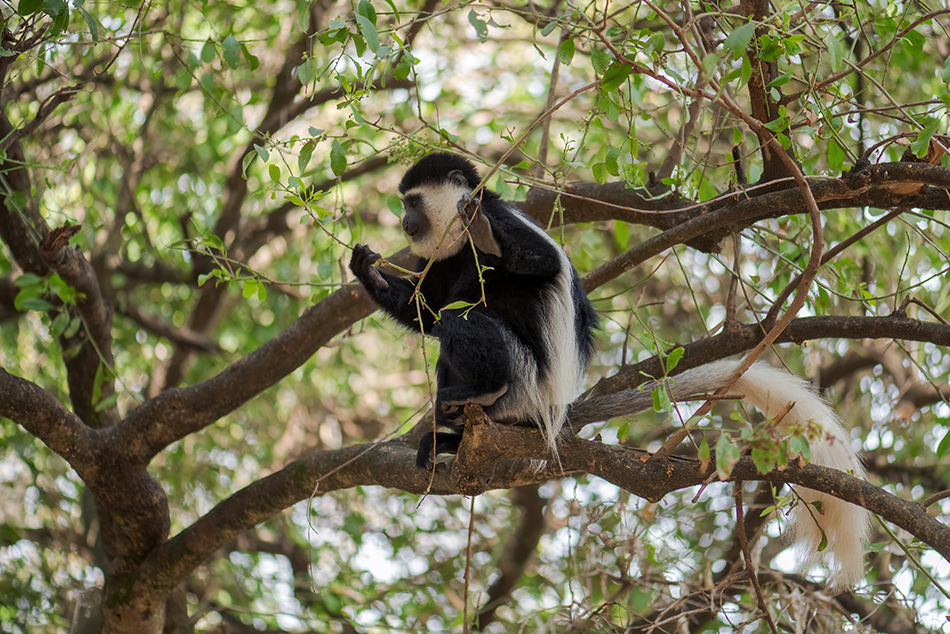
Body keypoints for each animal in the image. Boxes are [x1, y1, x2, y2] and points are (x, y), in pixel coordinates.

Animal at [348, 153, 872, 588]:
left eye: (412, 201)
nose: (404, 221)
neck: (457, 240)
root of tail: (553, 406)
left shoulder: (499, 218)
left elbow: (535, 263)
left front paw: (480, 231)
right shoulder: (437, 256)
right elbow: (422, 310)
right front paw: (366, 271)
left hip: (525, 380)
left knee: (461, 320)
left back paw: (482, 391)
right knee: (445, 332)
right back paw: (451, 435)